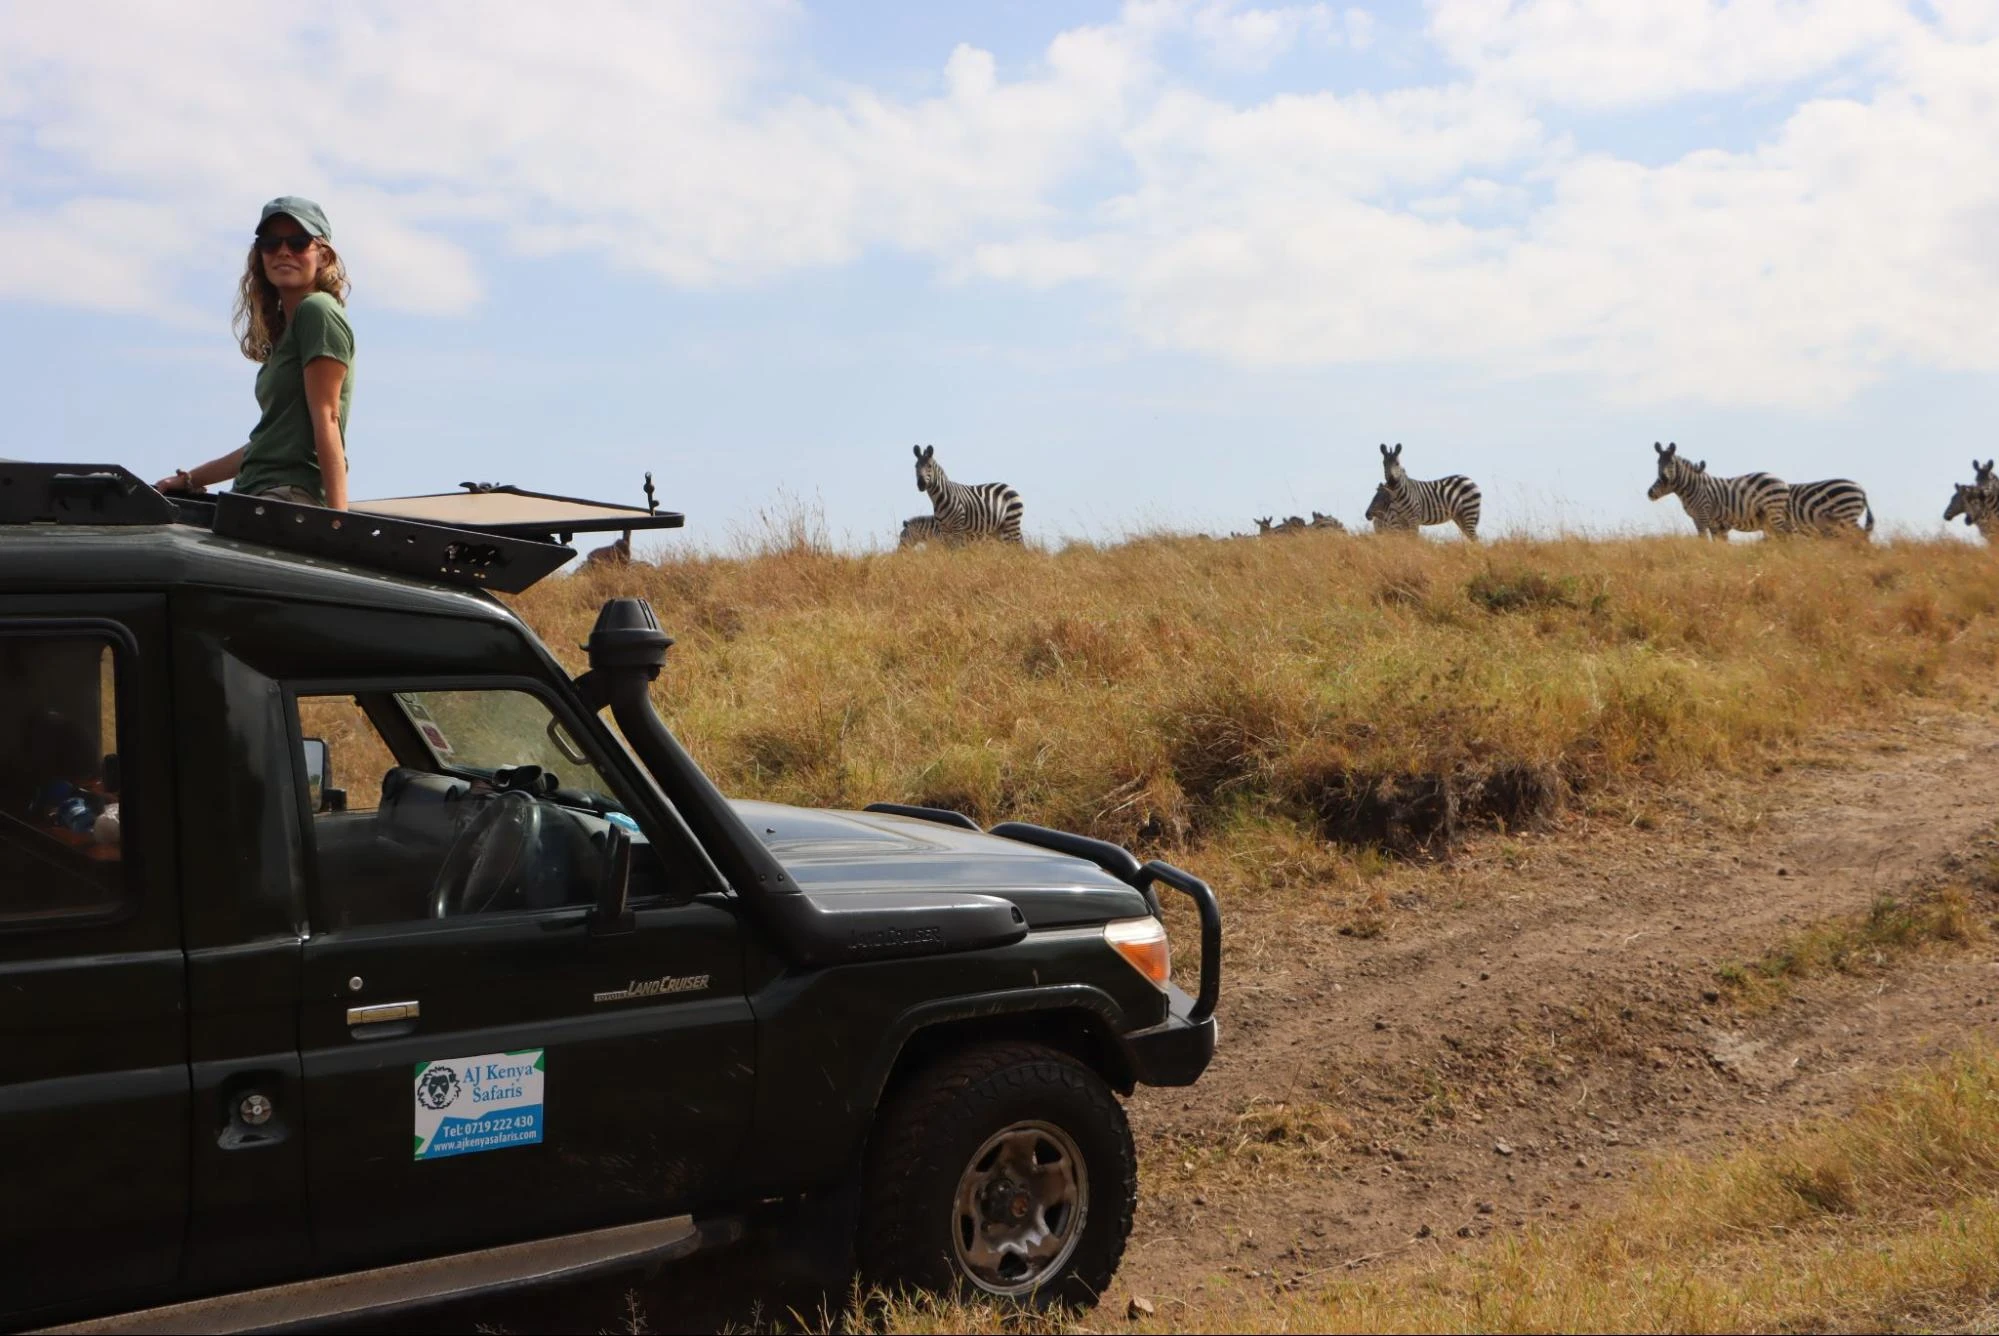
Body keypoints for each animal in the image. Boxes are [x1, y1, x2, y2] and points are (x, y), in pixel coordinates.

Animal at [1647, 444, 1791, 536]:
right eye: (1658, 463)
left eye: (1671, 463)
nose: (1650, 492)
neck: (1692, 487)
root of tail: (1783, 482)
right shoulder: (1701, 520)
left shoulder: (1703, 516)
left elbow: (1703, 540)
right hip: (1769, 516)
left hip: (1774, 510)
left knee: (1786, 533)